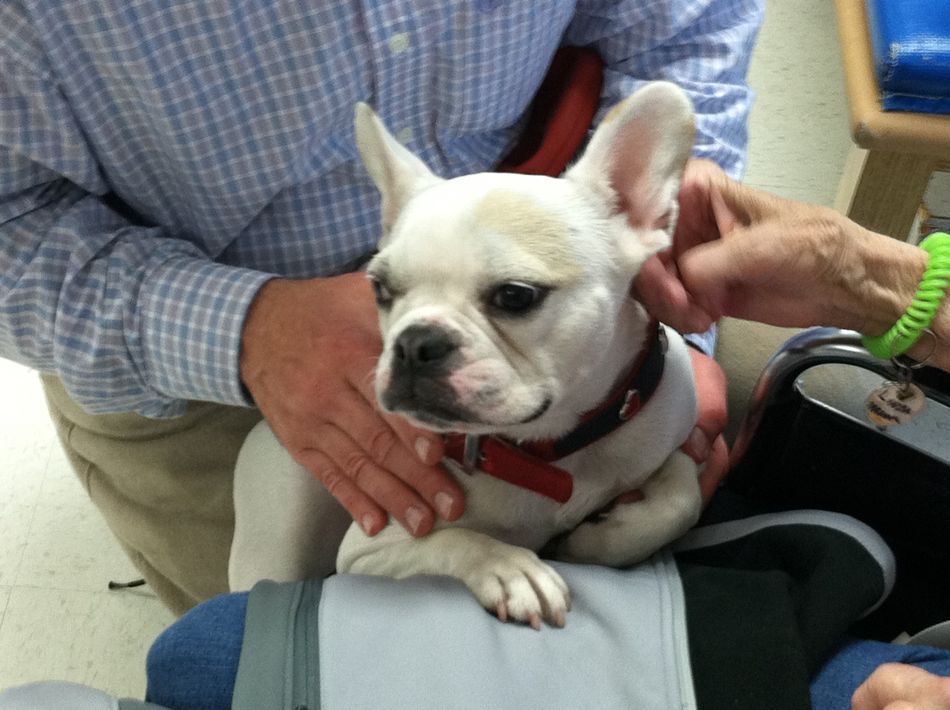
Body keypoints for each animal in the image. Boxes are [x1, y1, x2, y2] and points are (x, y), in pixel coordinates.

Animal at [229, 82, 702, 630]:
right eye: (380, 289)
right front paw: (510, 568)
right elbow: (455, 540)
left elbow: (683, 497)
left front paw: (596, 541)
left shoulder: (665, 429)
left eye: (515, 296)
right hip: (282, 534)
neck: (553, 448)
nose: (415, 343)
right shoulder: (369, 553)